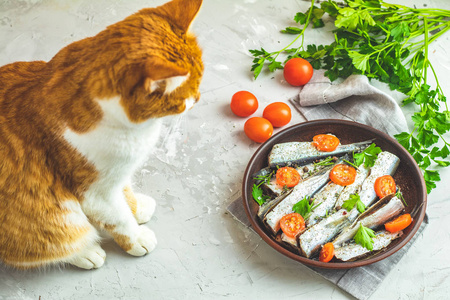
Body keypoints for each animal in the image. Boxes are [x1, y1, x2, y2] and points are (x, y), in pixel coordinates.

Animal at [0, 0, 202, 270]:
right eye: (187, 94)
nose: (198, 99)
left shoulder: (119, 170)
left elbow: (125, 193)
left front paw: (137, 208)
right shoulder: (95, 192)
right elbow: (119, 219)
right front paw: (137, 237)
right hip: (50, 219)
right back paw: (86, 253)